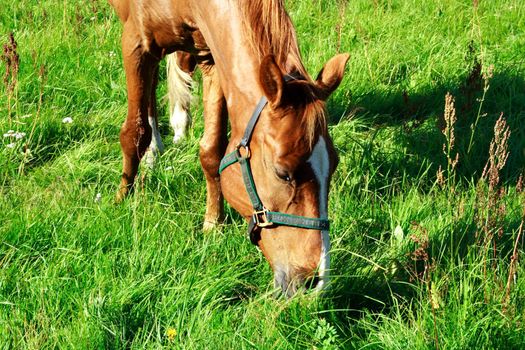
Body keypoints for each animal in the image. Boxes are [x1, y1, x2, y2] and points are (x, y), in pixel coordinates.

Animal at [109, 0, 348, 296]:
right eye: (283, 174)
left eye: (333, 165)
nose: (315, 281)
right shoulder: (135, 43)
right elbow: (134, 132)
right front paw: (121, 197)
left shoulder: (212, 58)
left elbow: (212, 151)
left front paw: (213, 223)